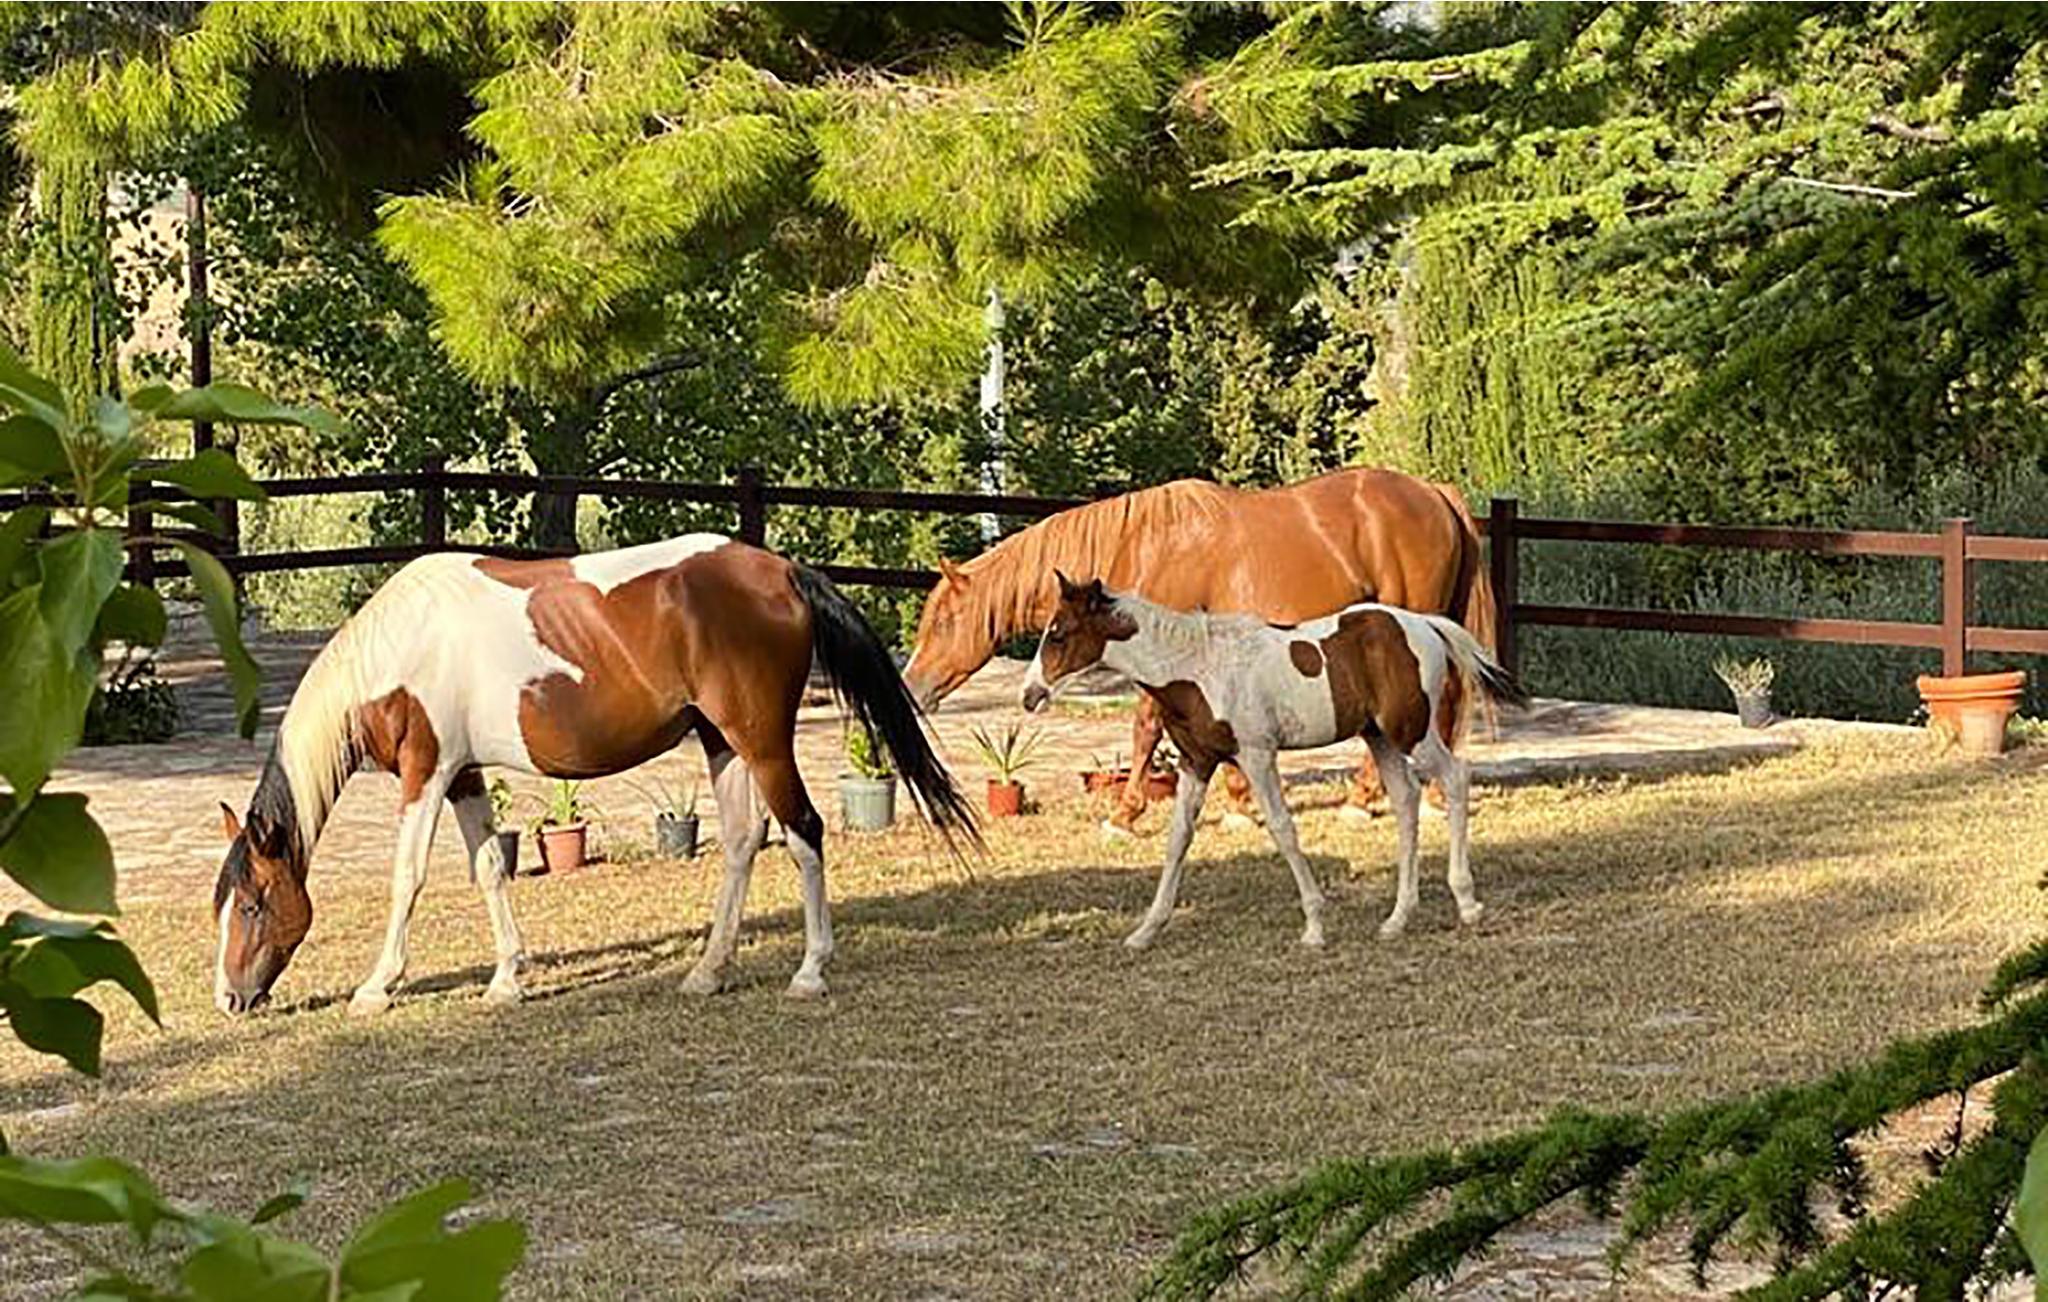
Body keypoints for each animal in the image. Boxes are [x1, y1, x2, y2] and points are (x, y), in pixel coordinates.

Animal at [212, 535, 977, 1016]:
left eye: (251, 904)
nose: (229, 998)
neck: (402, 644)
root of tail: (783, 573)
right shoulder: (463, 776)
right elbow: (490, 869)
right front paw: (507, 980)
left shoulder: (424, 772)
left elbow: (410, 877)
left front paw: (377, 988)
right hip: (720, 740)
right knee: (741, 839)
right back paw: (708, 972)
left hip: (759, 740)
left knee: (804, 831)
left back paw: (810, 971)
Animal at [901, 469, 1495, 832]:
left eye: (945, 621)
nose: (911, 688)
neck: (1143, 547)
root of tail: (1434, 493)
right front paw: (1237, 803)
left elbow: (1146, 729)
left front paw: (1125, 815)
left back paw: (1370, 801)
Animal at [1021, 573, 1526, 949]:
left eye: (1058, 633)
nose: (1029, 695)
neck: (1198, 668)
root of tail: (1423, 624)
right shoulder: (1196, 763)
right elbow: (1178, 838)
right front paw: (1146, 930)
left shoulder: (1256, 754)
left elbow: (1282, 828)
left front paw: (1315, 927)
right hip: (1379, 737)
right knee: (1406, 799)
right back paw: (1398, 918)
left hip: (1411, 731)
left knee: (1456, 777)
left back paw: (1467, 903)